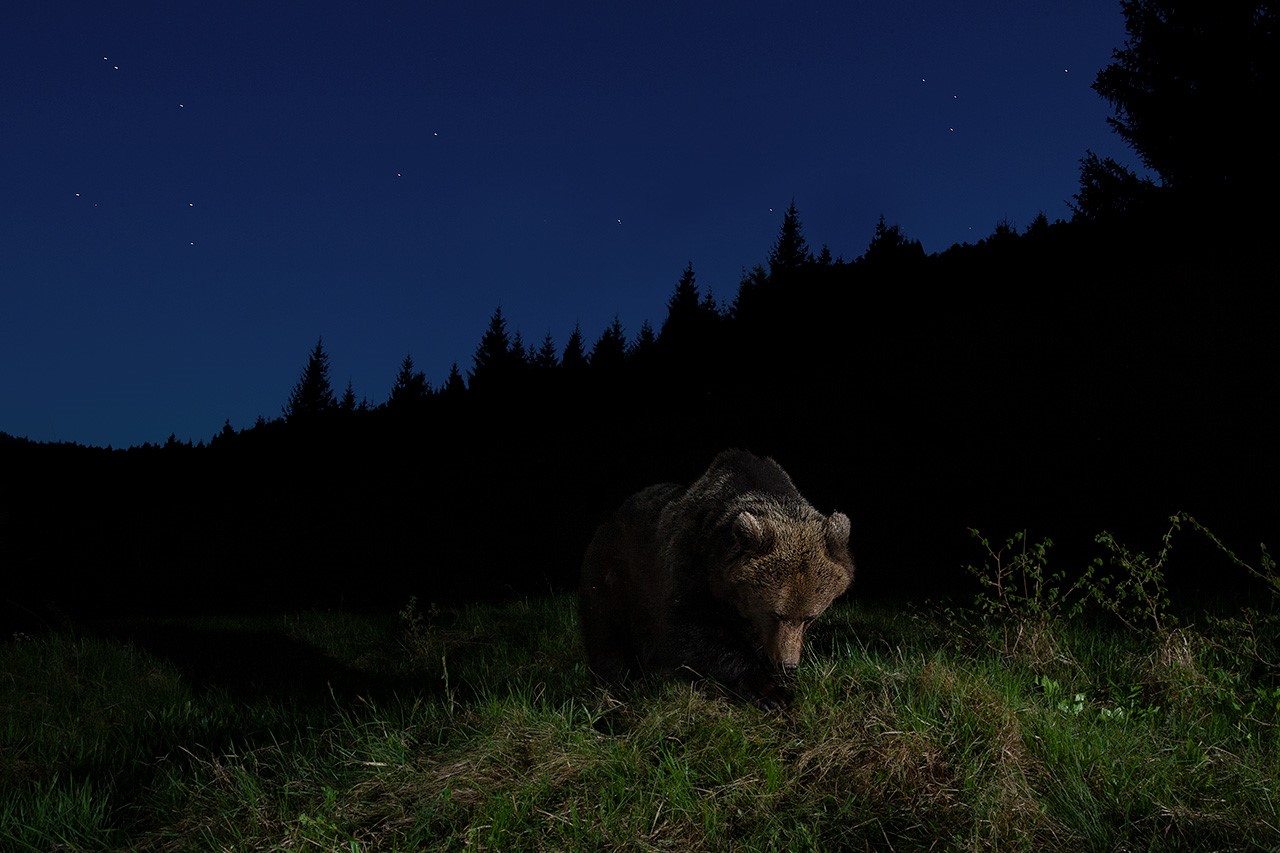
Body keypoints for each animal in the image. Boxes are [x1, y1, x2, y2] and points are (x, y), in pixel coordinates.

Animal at [578, 448, 854, 710]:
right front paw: (769, 691)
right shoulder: (692, 562)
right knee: (606, 634)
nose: (788, 665)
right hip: (613, 573)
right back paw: (616, 685)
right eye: (775, 613)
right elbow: (694, 627)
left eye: (810, 617)